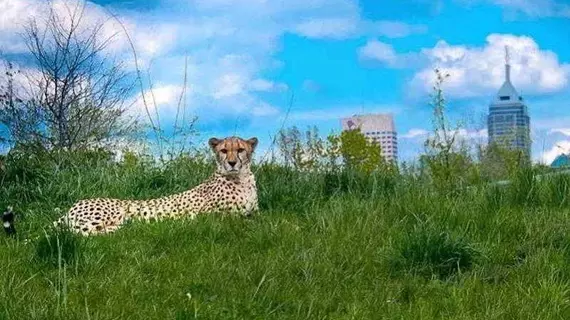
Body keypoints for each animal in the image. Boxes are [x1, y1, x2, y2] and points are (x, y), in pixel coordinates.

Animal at [53, 136, 258, 236]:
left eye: (240, 149)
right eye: (223, 150)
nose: (232, 162)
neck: (241, 179)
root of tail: (73, 205)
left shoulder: (254, 212)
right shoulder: (213, 217)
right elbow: (239, 220)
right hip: (114, 212)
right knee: (78, 231)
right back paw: (125, 227)